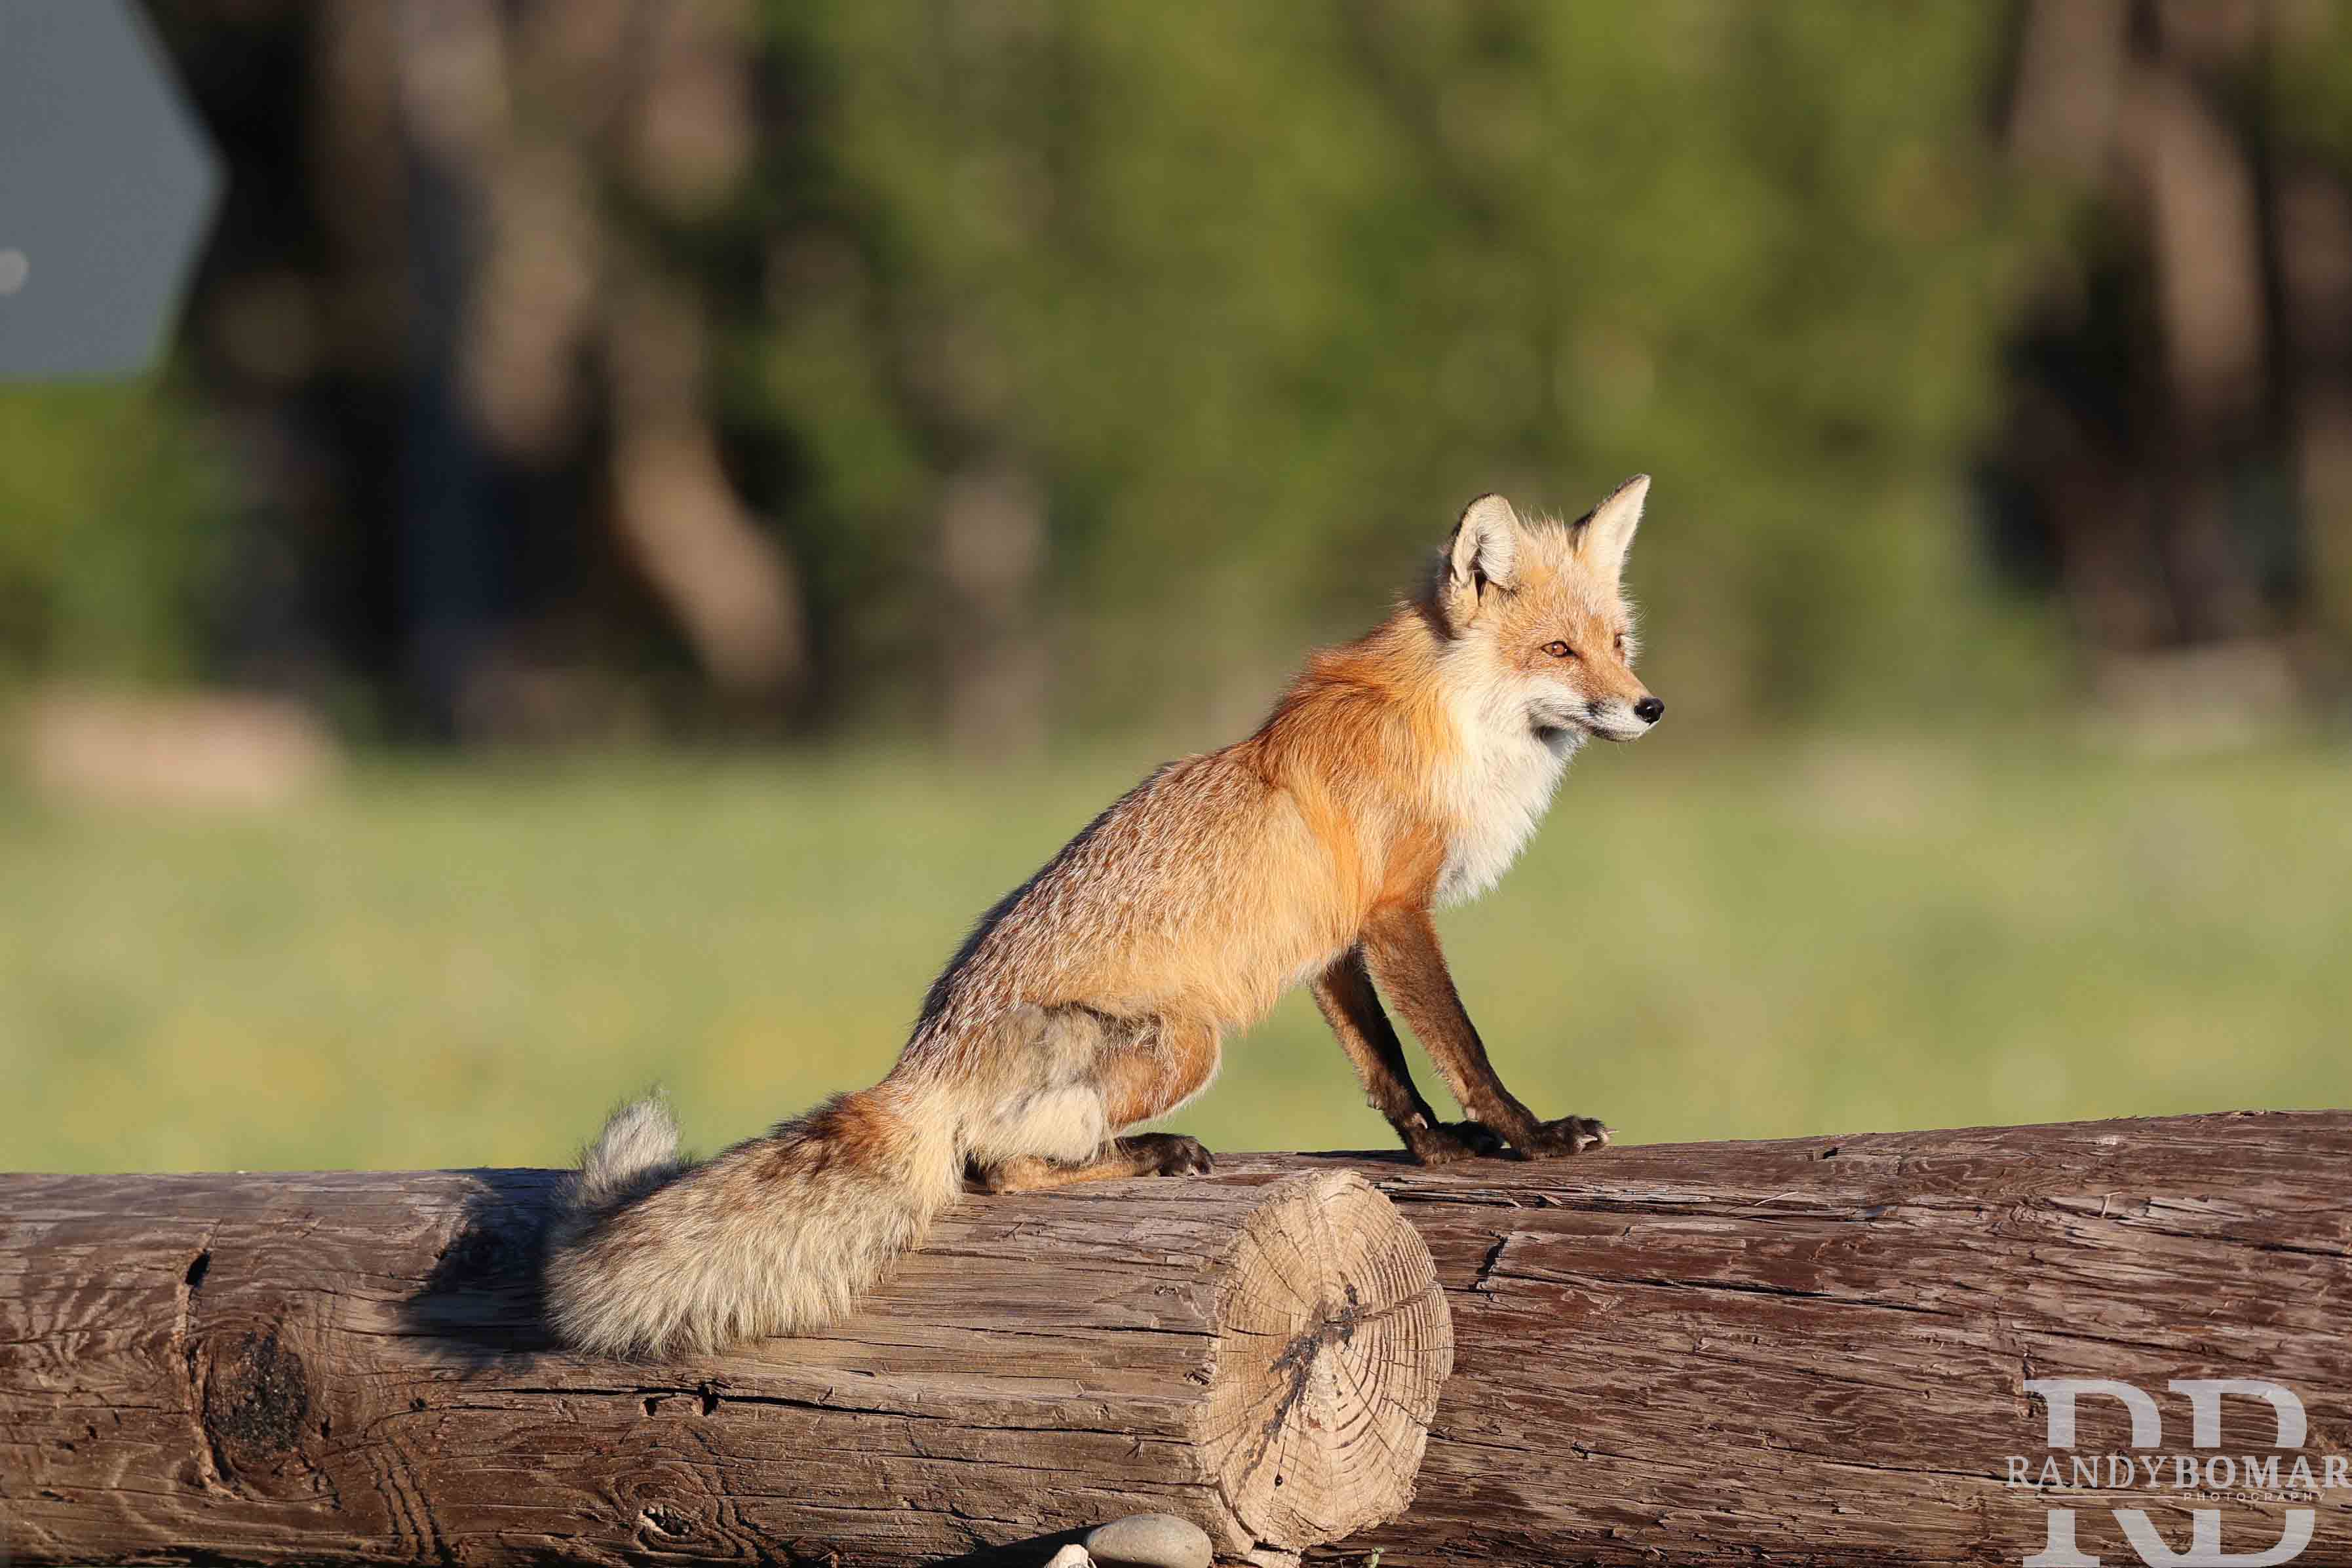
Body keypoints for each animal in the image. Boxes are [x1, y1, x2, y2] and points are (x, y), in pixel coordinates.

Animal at [543, 475, 1665, 1358]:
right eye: (1557, 649)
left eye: (1615, 644)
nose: (1650, 707)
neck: (1445, 727)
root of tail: (914, 1069)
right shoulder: (1395, 914)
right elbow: (1461, 1047)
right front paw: (1528, 1136)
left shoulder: (1335, 943)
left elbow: (1385, 1067)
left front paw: (1435, 1151)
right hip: (1188, 1043)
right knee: (989, 1167)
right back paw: (1146, 1154)